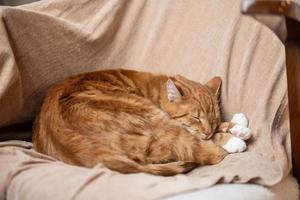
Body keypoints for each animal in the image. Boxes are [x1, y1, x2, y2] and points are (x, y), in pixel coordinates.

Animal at [32, 69, 252, 175]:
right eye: (195, 117)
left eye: (213, 119)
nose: (207, 131)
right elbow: (199, 138)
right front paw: (233, 135)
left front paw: (237, 125)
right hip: (154, 118)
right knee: (201, 151)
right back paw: (232, 143)